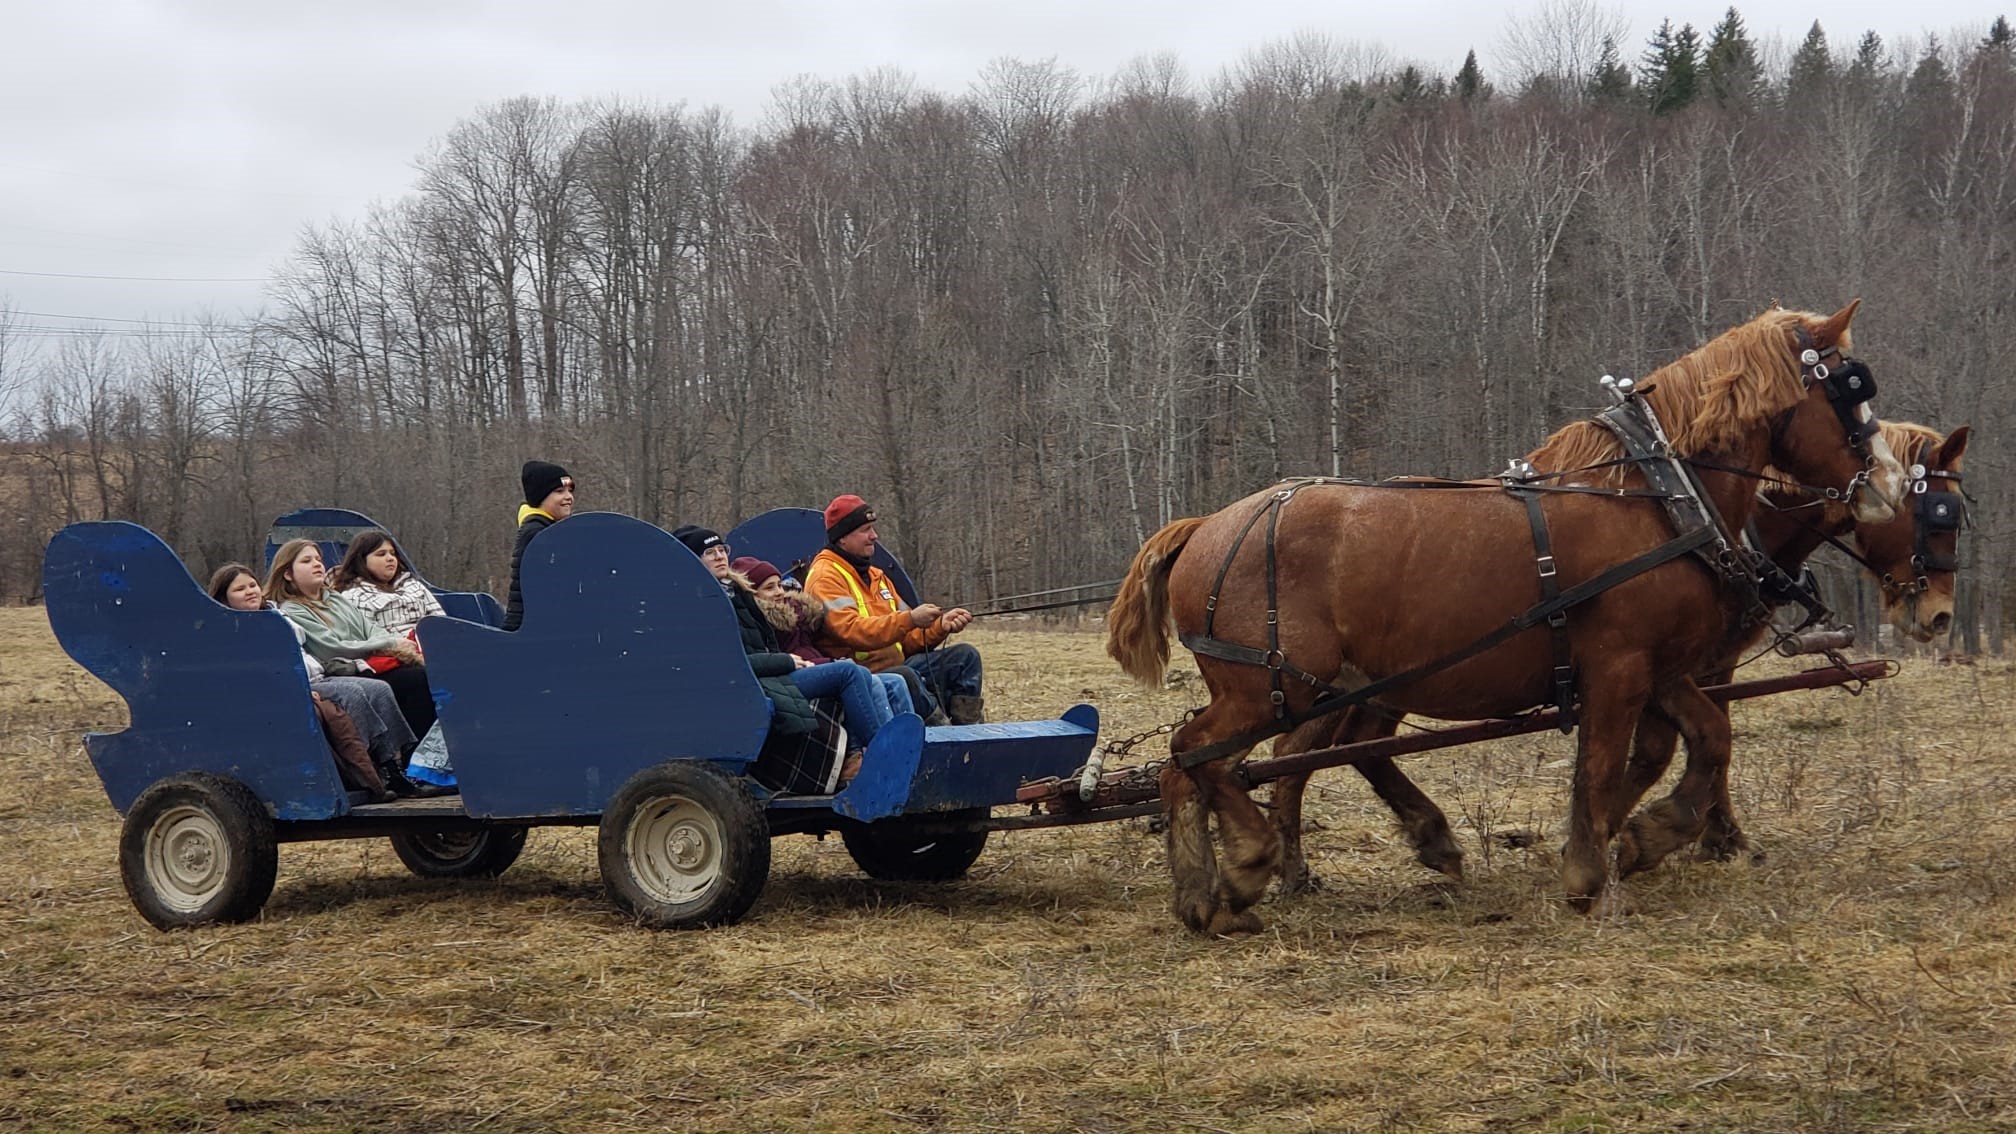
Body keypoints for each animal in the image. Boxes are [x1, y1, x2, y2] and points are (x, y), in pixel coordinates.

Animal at [1112, 300, 1895, 928]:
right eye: (1851, 388)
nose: (1885, 482)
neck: (1655, 497)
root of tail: (1208, 525)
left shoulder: (1661, 667)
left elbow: (1706, 741)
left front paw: (1644, 837)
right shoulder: (1618, 669)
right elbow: (1601, 767)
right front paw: (1590, 875)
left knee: (1204, 766)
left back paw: (1212, 892)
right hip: (1271, 687)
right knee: (1197, 756)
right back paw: (1247, 863)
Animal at [1266, 415, 1975, 891]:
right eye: (1937, 511)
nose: (1939, 616)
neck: (1719, 521)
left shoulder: (1678, 665)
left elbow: (1682, 742)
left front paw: (1642, 831)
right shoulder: (1688, 660)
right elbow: (1687, 745)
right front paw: (1694, 835)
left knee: (1349, 748)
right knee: (1300, 754)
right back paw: (1298, 864)